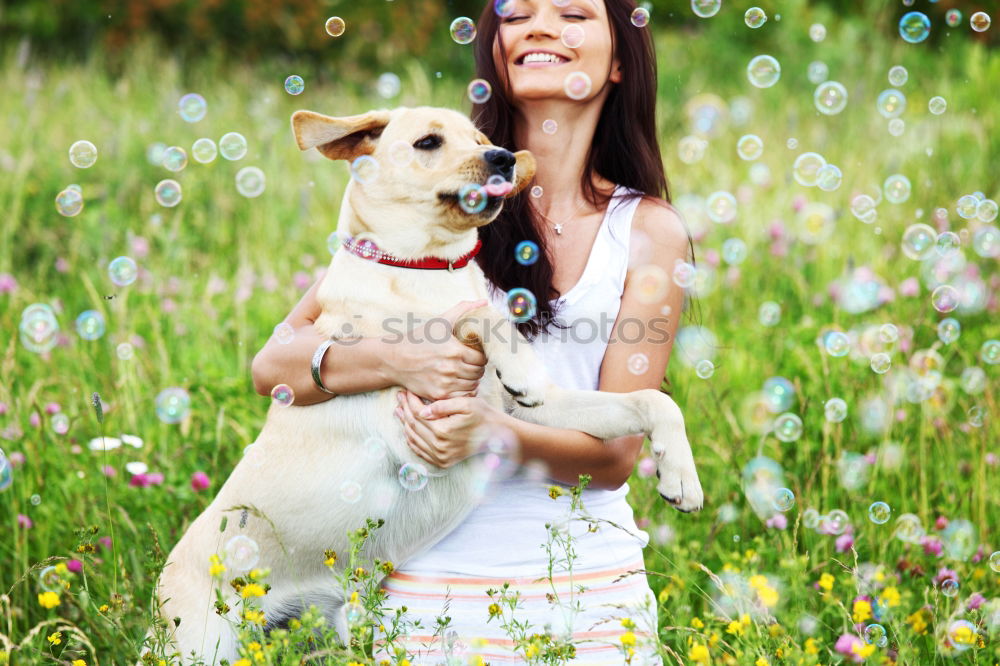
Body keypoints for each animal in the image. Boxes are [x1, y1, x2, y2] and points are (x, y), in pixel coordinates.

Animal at [148, 106, 704, 660]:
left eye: (480, 139)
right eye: (429, 143)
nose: (503, 158)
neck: (432, 269)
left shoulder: (527, 413)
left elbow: (648, 401)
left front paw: (680, 476)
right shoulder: (415, 429)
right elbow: (479, 314)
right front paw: (516, 361)